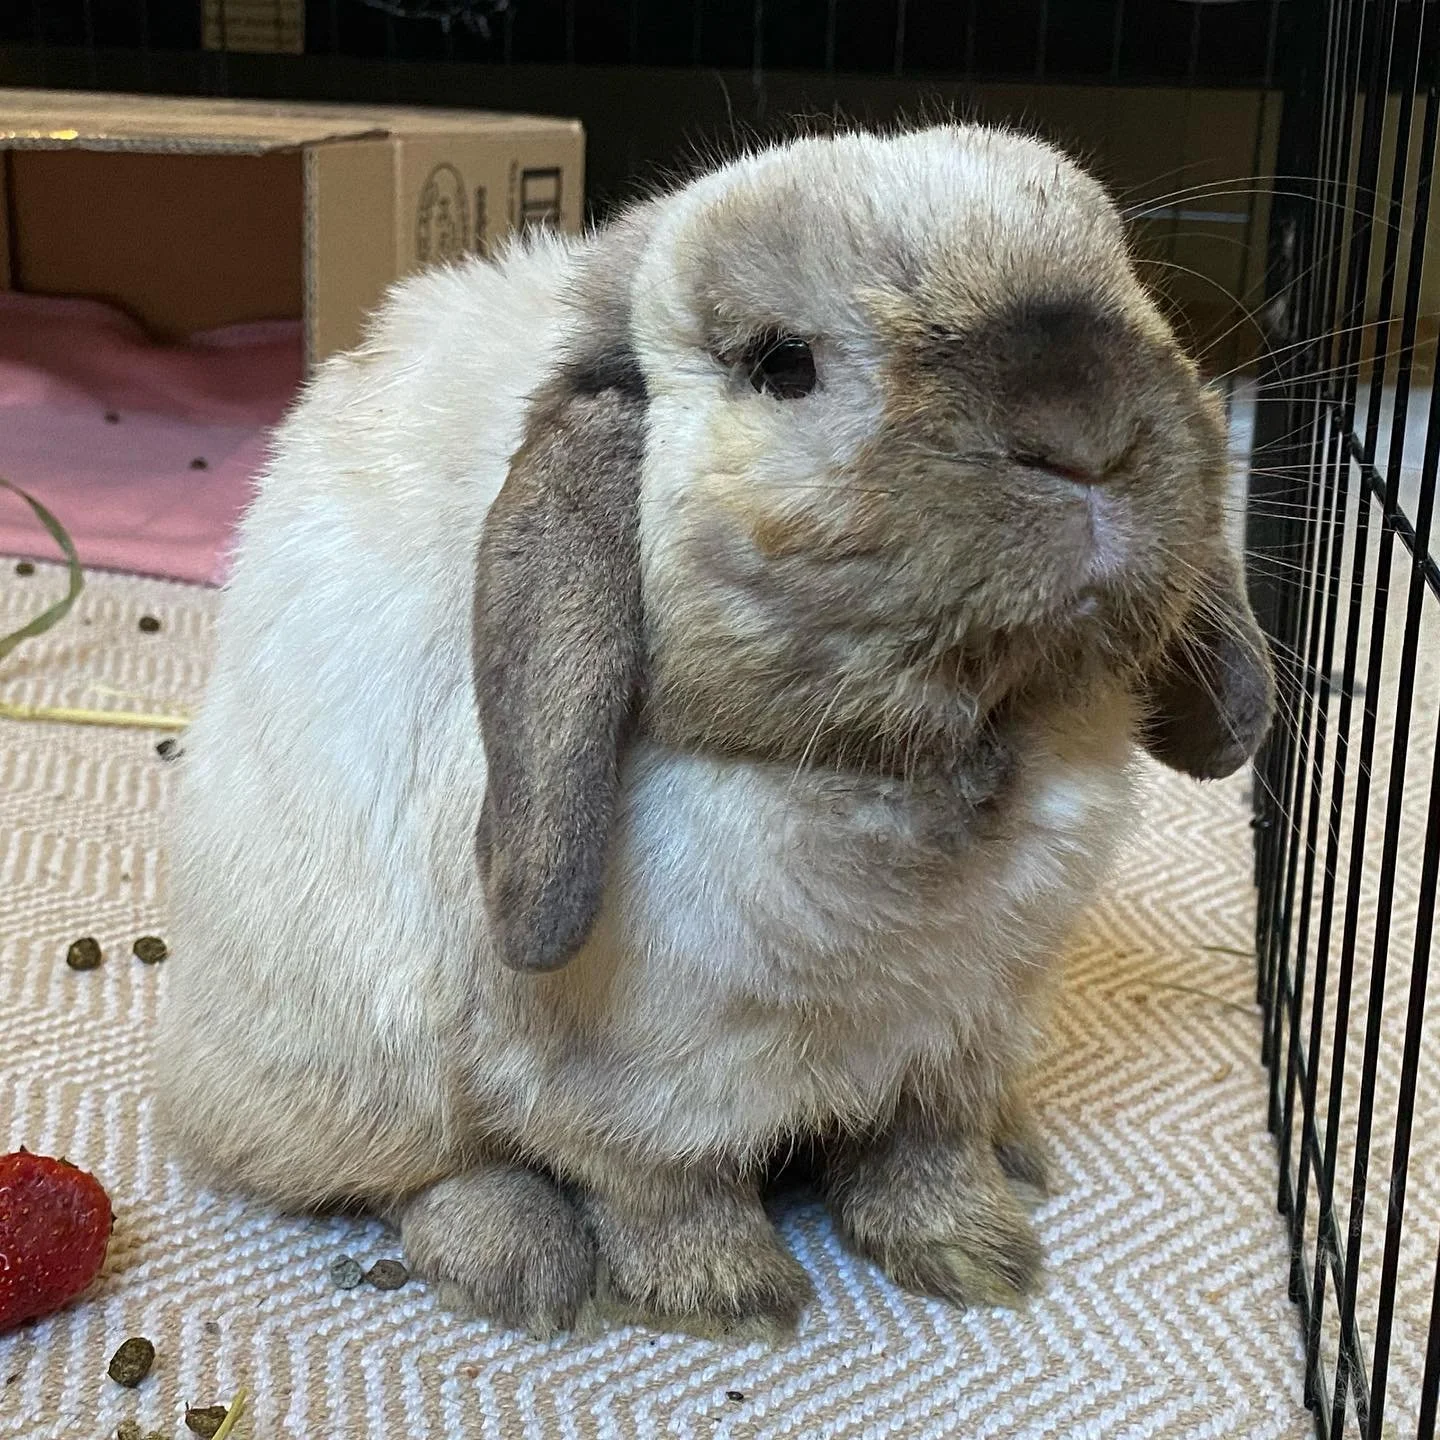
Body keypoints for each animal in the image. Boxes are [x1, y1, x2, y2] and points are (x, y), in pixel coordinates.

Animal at [155, 122, 1274, 1336]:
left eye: (1126, 285)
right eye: (782, 365)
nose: (1085, 433)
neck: (928, 759)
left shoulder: (961, 1038)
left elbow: (924, 1154)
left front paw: (978, 1256)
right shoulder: (643, 1094)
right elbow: (670, 1190)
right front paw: (732, 1300)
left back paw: (1020, 1152)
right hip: (355, 1072)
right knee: (422, 1172)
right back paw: (514, 1264)